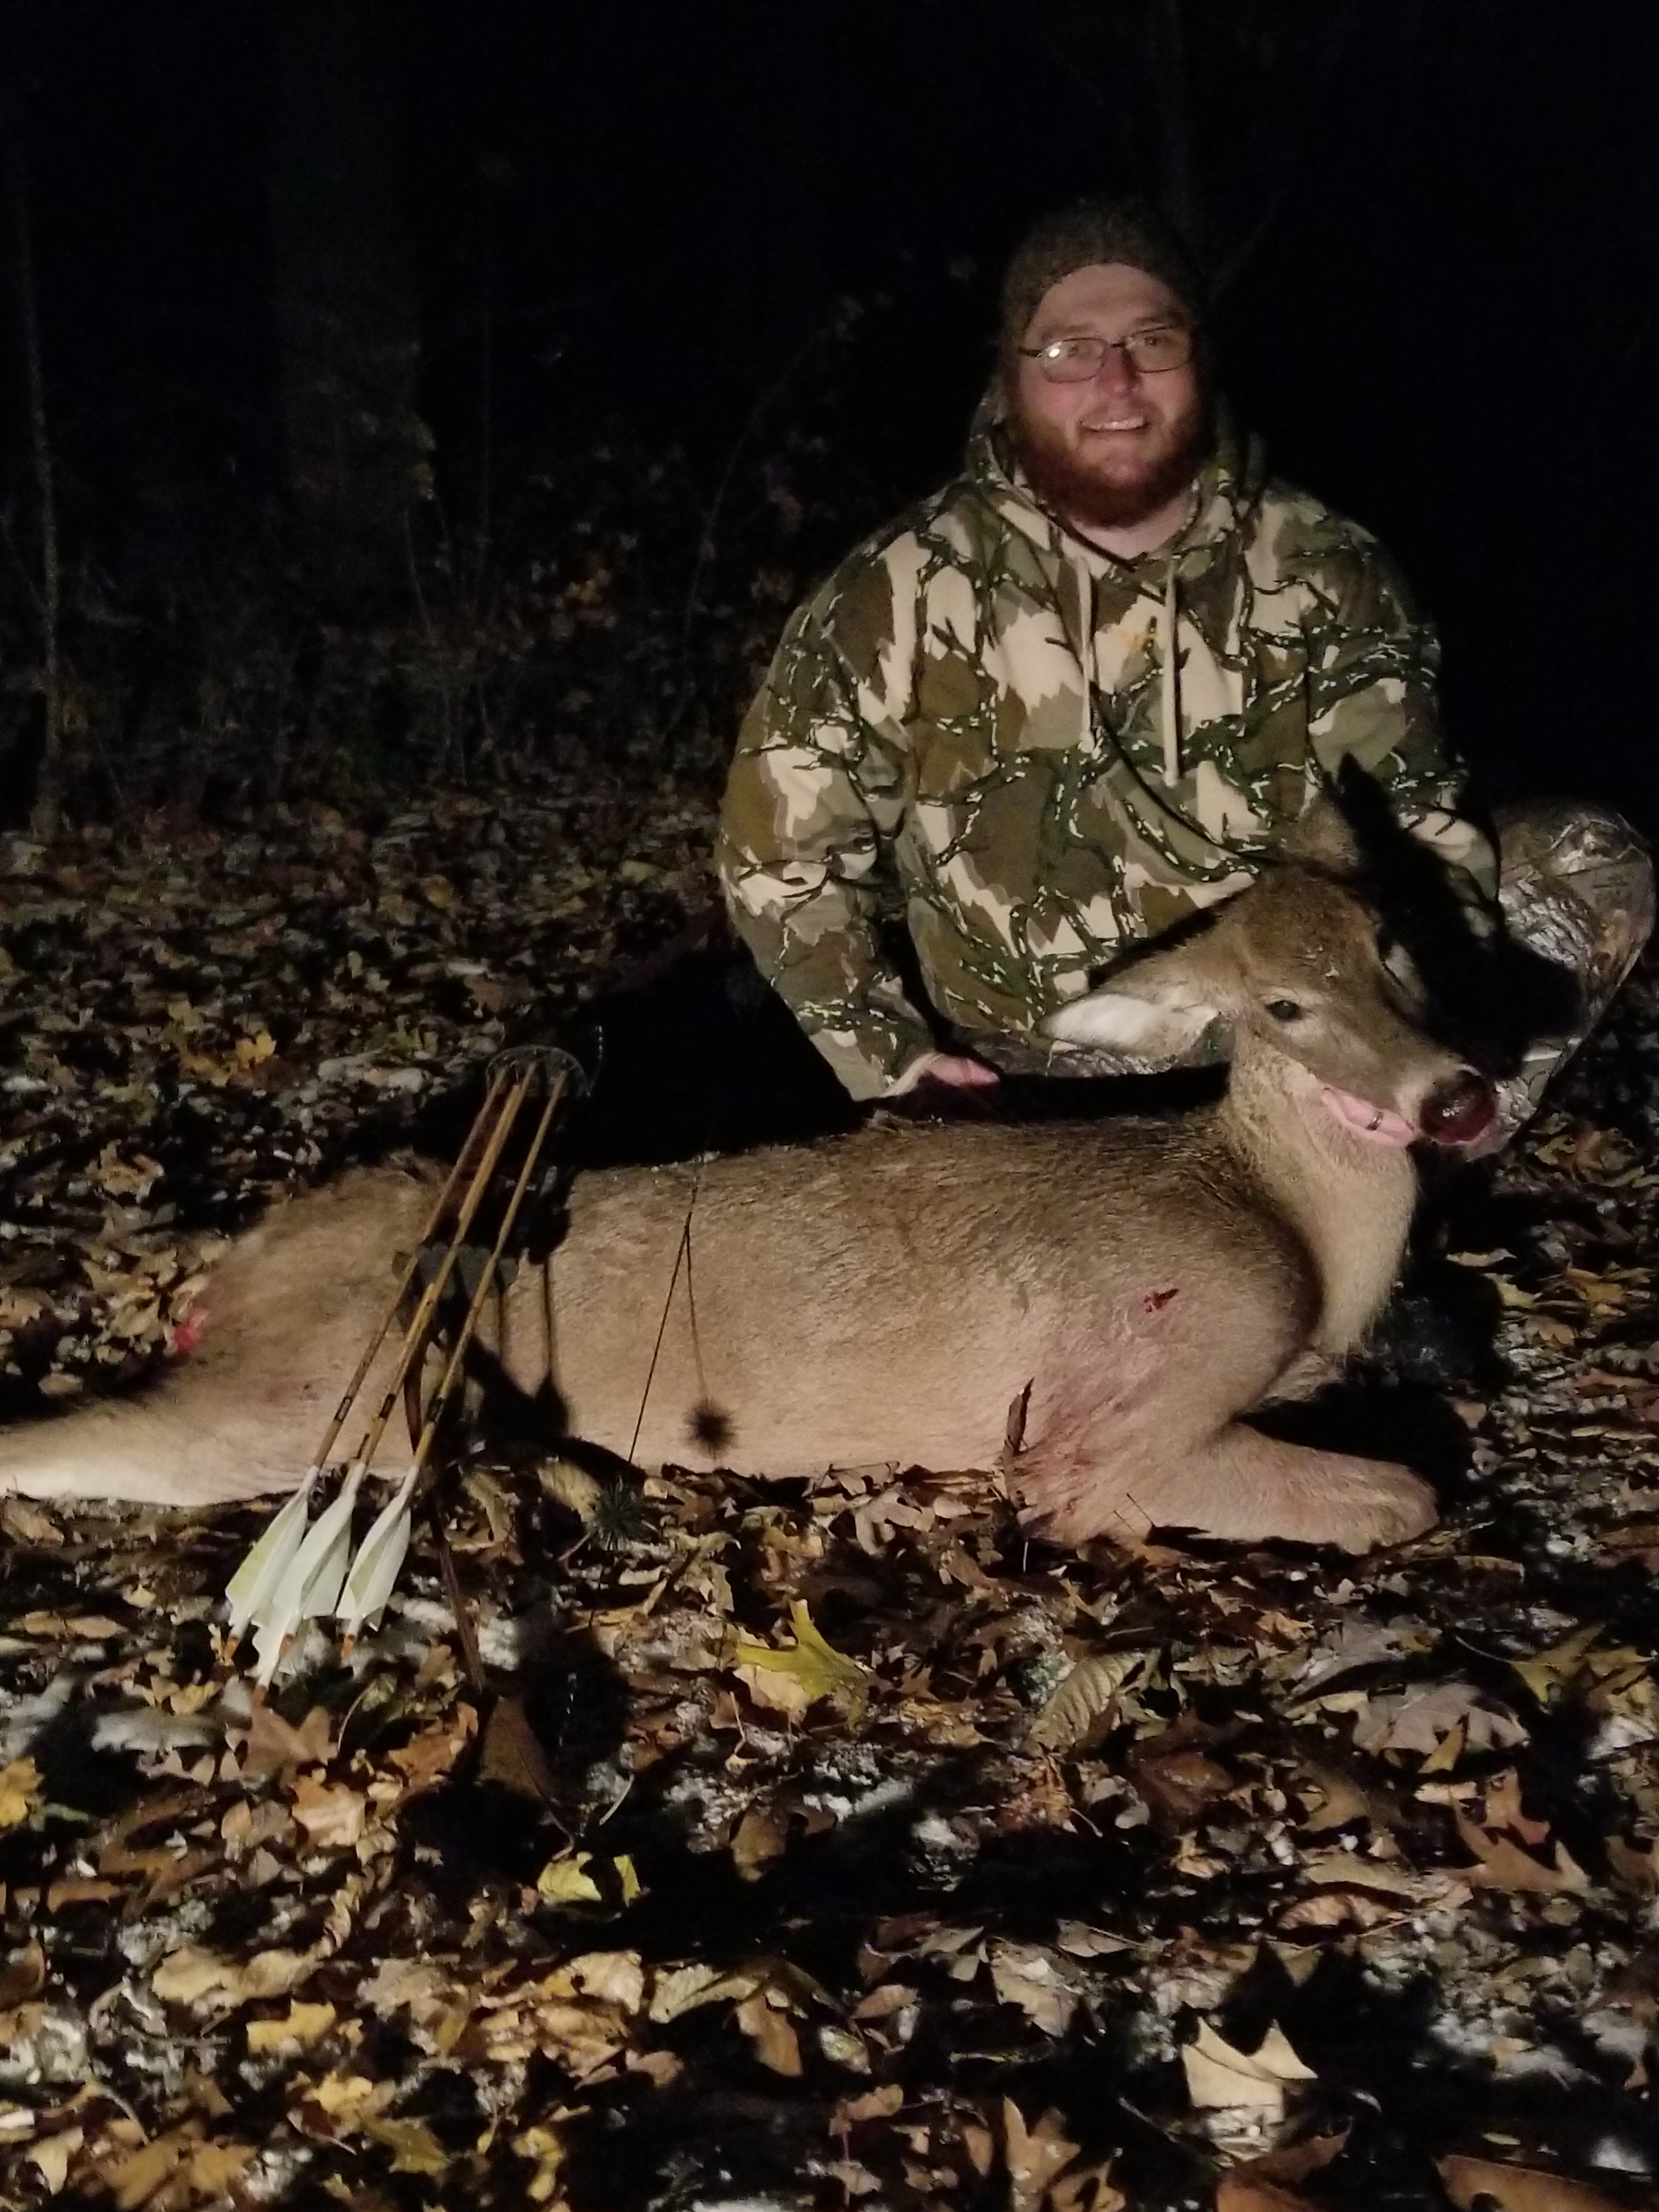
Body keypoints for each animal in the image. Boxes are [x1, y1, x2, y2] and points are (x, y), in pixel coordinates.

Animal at [0, 804, 1499, 1552]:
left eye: (1396, 948)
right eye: (1283, 1006)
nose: (1457, 1093)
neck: (1292, 1225)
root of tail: (239, 1261)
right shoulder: (1124, 1426)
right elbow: (1393, 1498)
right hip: (313, 1386)